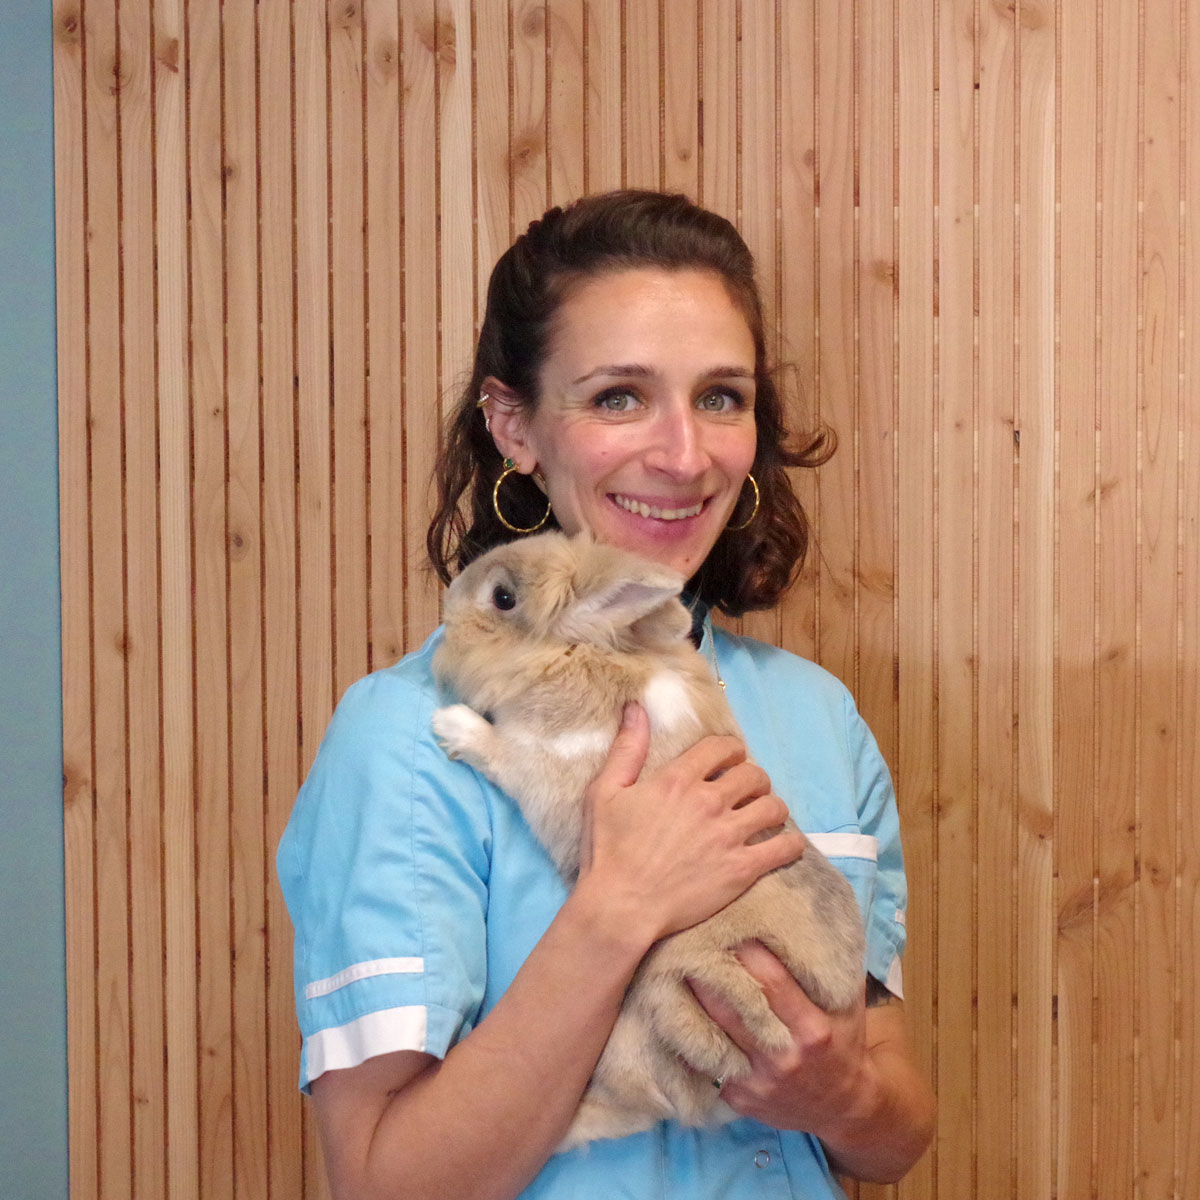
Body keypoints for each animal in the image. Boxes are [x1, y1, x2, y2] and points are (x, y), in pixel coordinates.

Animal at [430, 530, 866, 1151]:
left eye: (504, 598)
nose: (446, 608)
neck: (583, 652)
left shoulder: (545, 764)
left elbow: (503, 755)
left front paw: (453, 726)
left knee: (642, 1108)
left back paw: (571, 1128)